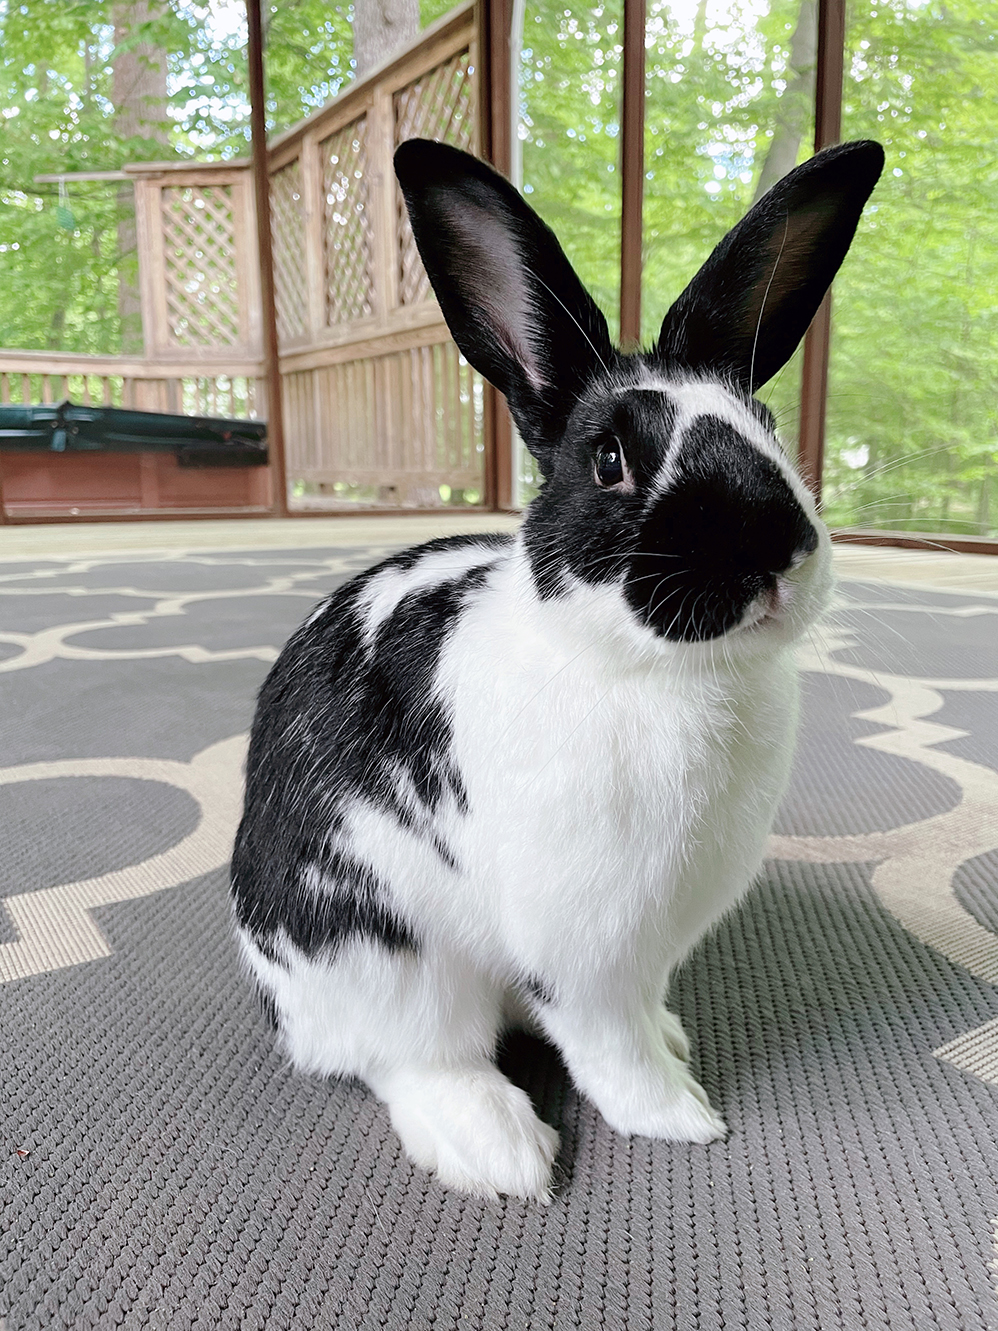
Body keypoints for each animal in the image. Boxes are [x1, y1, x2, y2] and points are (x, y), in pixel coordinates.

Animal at [230, 136, 883, 1201]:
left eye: (768, 425)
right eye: (611, 460)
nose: (773, 550)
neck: (653, 670)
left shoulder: (648, 944)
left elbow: (633, 1017)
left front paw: (673, 1051)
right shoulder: (587, 944)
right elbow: (609, 1044)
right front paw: (679, 1118)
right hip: (385, 958)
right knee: (411, 1056)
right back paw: (498, 1149)